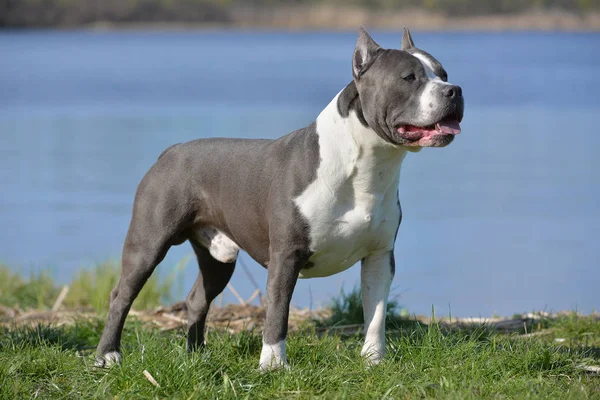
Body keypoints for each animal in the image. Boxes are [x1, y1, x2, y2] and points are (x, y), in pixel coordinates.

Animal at [97, 26, 464, 370]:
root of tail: (169, 153)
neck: (366, 166)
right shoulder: (286, 256)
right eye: (409, 78)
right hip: (148, 243)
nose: (455, 90)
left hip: (218, 258)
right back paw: (108, 356)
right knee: (120, 295)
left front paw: (373, 360)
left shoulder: (379, 256)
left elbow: (375, 314)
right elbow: (278, 312)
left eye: (443, 74)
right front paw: (272, 365)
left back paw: (196, 354)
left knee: (198, 298)